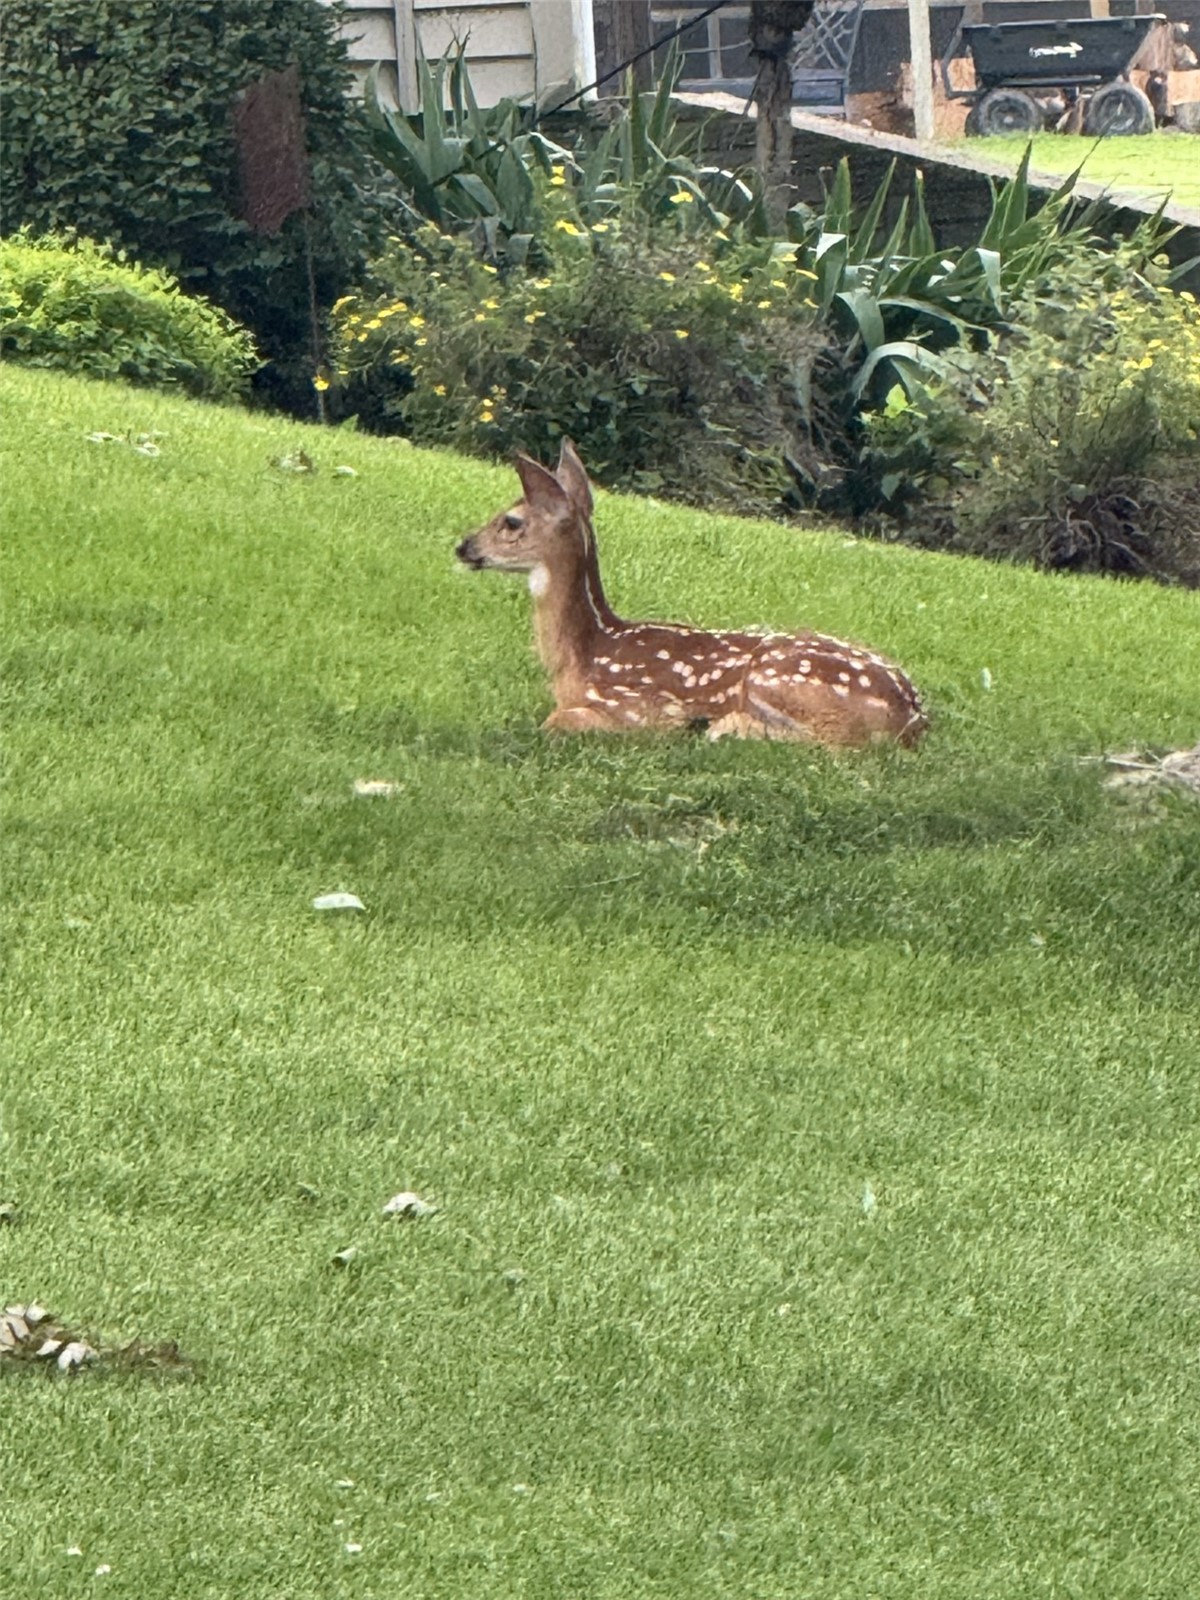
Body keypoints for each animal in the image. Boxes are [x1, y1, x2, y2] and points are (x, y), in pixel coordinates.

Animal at [456, 441, 928, 747]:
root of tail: (914, 717)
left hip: (775, 676)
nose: (463, 546)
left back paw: (725, 727)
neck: (584, 654)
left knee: (837, 744)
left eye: (511, 522)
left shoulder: (635, 707)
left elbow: (555, 721)